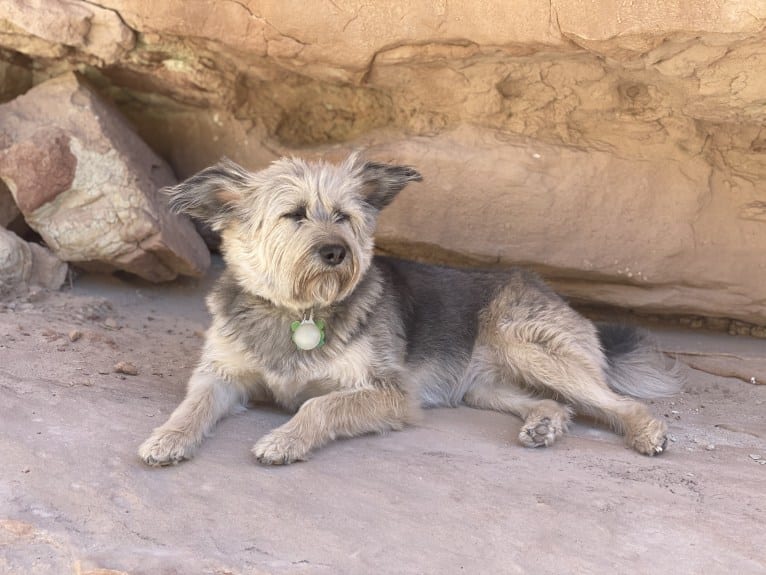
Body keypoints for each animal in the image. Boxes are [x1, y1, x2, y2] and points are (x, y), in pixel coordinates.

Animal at [138, 154, 680, 468]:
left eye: (344, 217)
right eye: (293, 215)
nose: (336, 251)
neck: (299, 312)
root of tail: (547, 287)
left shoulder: (390, 392)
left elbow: (320, 404)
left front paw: (285, 439)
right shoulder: (221, 373)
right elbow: (193, 404)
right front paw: (167, 438)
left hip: (527, 343)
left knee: (616, 401)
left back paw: (647, 432)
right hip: (483, 385)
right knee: (555, 402)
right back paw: (543, 423)